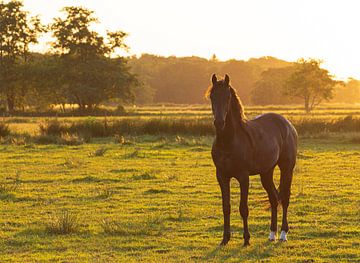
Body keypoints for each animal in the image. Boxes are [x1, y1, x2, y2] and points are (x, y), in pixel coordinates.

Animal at [208, 74, 298, 248]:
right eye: (212, 96)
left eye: (227, 97)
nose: (219, 123)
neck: (229, 141)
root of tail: (287, 124)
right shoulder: (221, 176)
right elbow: (226, 207)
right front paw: (225, 239)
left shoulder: (243, 177)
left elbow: (243, 208)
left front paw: (246, 239)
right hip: (266, 172)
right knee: (274, 198)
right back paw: (272, 234)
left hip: (287, 168)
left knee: (284, 197)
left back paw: (283, 234)